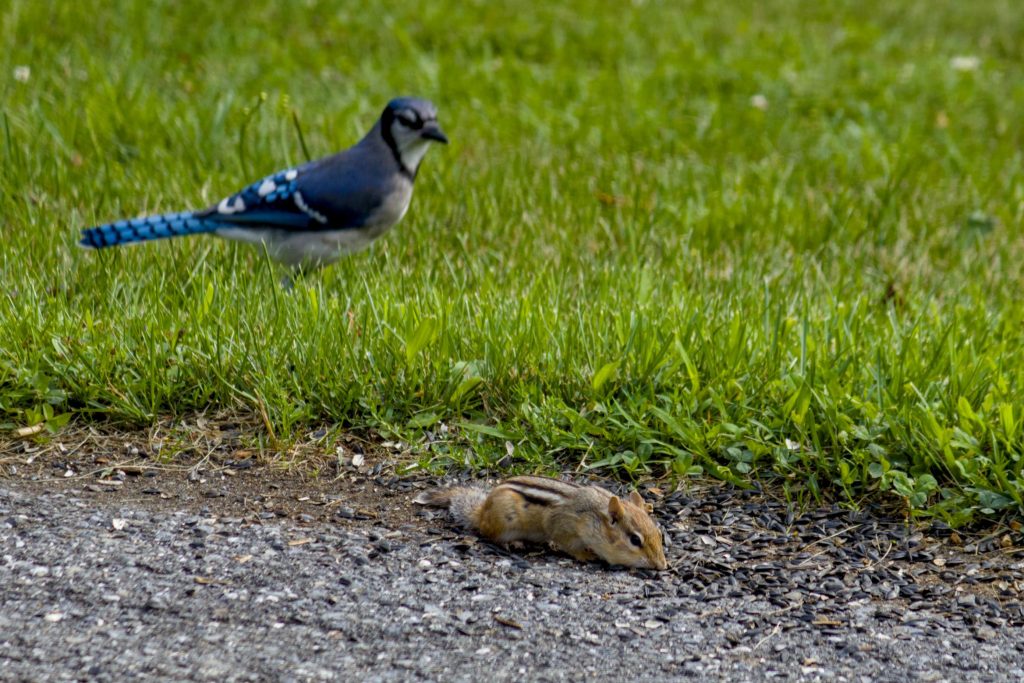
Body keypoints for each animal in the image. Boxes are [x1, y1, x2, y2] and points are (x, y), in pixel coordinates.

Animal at [415, 475, 668, 570]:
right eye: (635, 540)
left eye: (659, 534)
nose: (662, 566)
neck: (595, 516)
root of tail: (482, 512)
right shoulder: (563, 526)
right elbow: (569, 545)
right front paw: (586, 555)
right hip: (503, 522)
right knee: (490, 535)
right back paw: (513, 544)